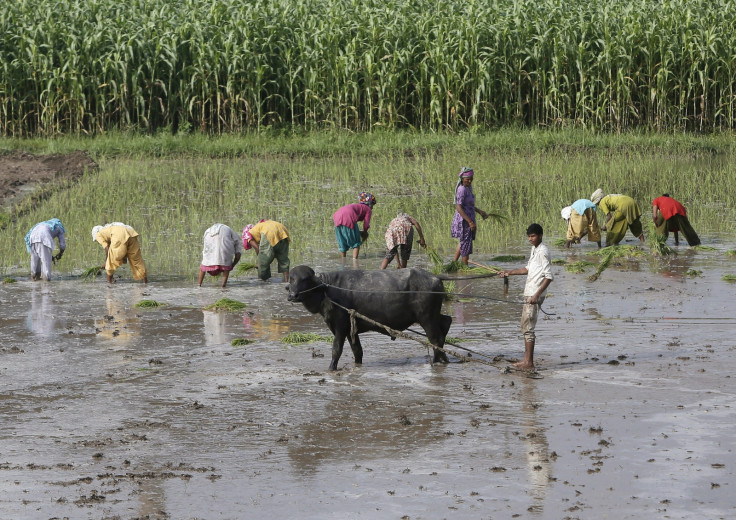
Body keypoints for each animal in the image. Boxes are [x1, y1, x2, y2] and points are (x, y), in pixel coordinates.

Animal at [286, 264, 448, 370]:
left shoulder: (340, 328)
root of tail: (434, 277)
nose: (293, 295)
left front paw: (331, 368)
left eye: (305, 280)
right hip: (434, 316)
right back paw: (444, 359)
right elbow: (357, 350)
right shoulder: (350, 330)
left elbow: (336, 350)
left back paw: (437, 361)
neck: (327, 290)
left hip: (427, 318)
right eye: (291, 279)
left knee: (435, 339)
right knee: (446, 323)